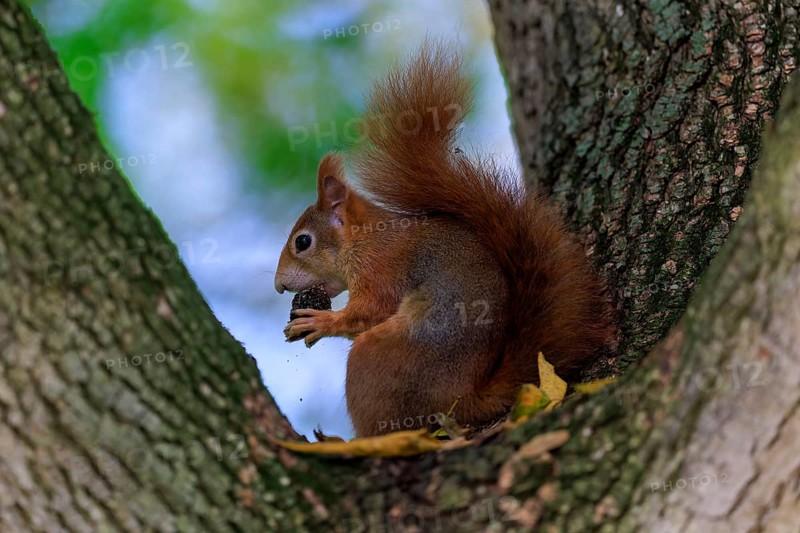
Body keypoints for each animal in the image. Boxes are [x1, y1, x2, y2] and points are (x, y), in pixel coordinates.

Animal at [274, 43, 616, 438]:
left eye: (302, 242)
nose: (279, 285)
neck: (365, 239)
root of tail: (462, 399)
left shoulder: (382, 268)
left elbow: (371, 309)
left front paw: (319, 321)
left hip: (377, 359)